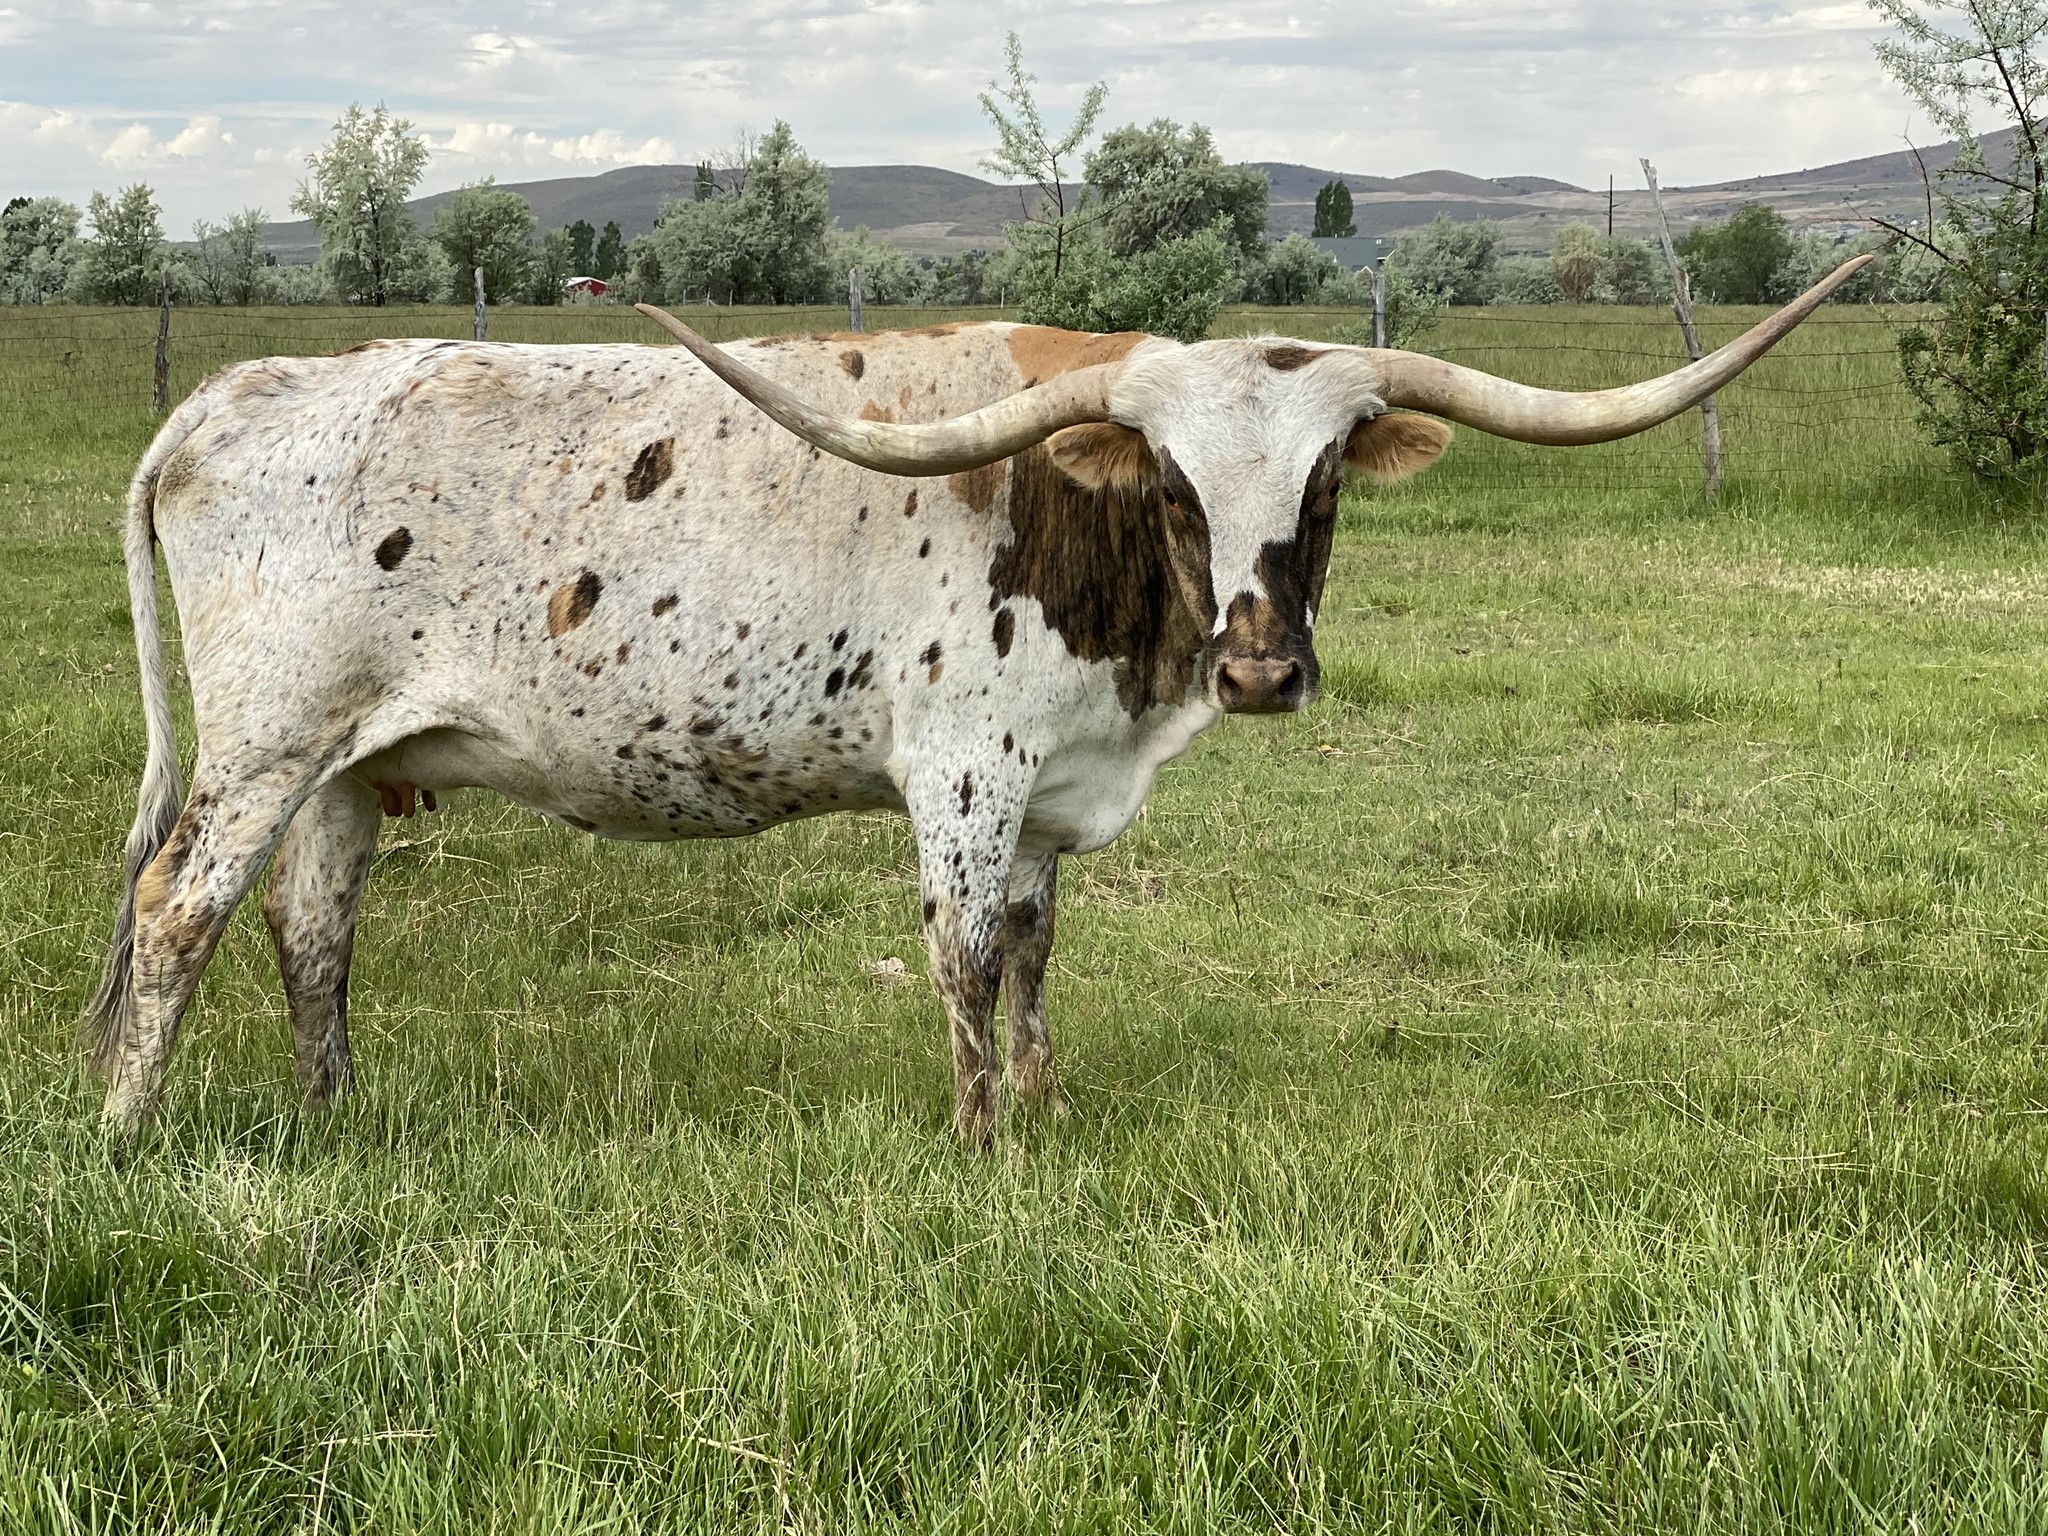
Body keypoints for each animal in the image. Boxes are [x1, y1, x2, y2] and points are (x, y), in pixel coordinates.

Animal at [82, 256, 1871, 1143]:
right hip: (262, 743)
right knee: (178, 913)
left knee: (310, 927)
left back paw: (333, 1123)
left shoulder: (1052, 795)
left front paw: (1044, 1109)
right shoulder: (965, 769)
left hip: (345, 758)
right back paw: (125, 1130)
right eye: (1172, 481)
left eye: (1323, 483)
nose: (1258, 666)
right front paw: (980, 1147)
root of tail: (239, 388)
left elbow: (1027, 952)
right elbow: (955, 952)